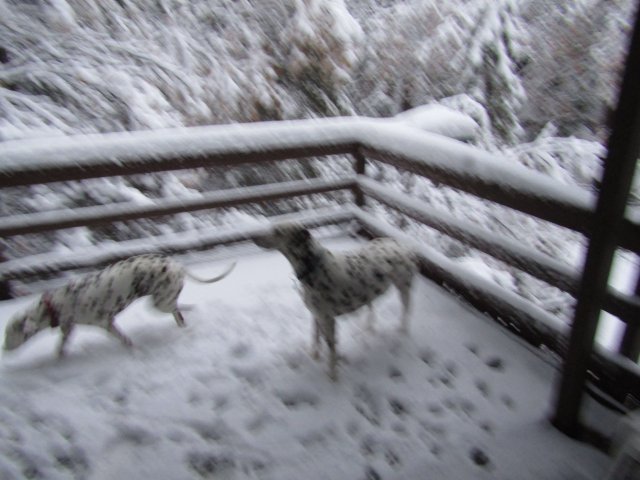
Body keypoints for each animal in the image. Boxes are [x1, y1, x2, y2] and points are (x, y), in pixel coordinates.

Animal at [2, 255, 238, 356]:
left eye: (9, 333)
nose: (3, 348)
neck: (54, 305)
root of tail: (176, 265)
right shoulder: (69, 328)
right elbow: (61, 345)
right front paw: (59, 357)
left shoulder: (106, 323)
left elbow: (124, 339)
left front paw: (133, 348)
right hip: (162, 299)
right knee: (178, 308)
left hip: (159, 302)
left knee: (176, 311)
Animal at [255, 223, 420, 380]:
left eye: (277, 231)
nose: (253, 237)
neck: (313, 267)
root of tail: (406, 247)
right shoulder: (316, 315)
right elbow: (315, 336)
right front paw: (315, 355)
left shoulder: (328, 320)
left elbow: (332, 349)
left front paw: (333, 376)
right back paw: (370, 327)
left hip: (404, 288)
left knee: (406, 310)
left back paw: (402, 330)